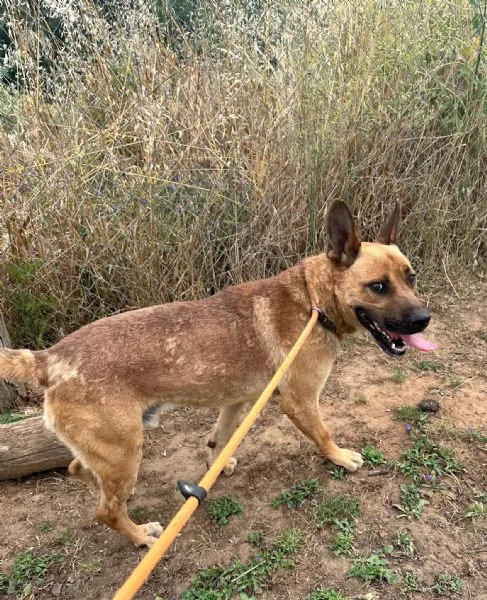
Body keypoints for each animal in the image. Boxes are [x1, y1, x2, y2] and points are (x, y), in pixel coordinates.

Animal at [0, 199, 436, 548]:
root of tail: (50, 358)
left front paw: (217, 464)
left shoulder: (237, 400)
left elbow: (220, 437)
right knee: (105, 511)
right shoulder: (300, 402)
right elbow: (324, 434)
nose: (423, 320)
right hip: (124, 447)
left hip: (114, 448)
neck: (313, 301)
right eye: (378, 286)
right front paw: (340, 458)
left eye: (411, 277)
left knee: (81, 471)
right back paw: (140, 535)